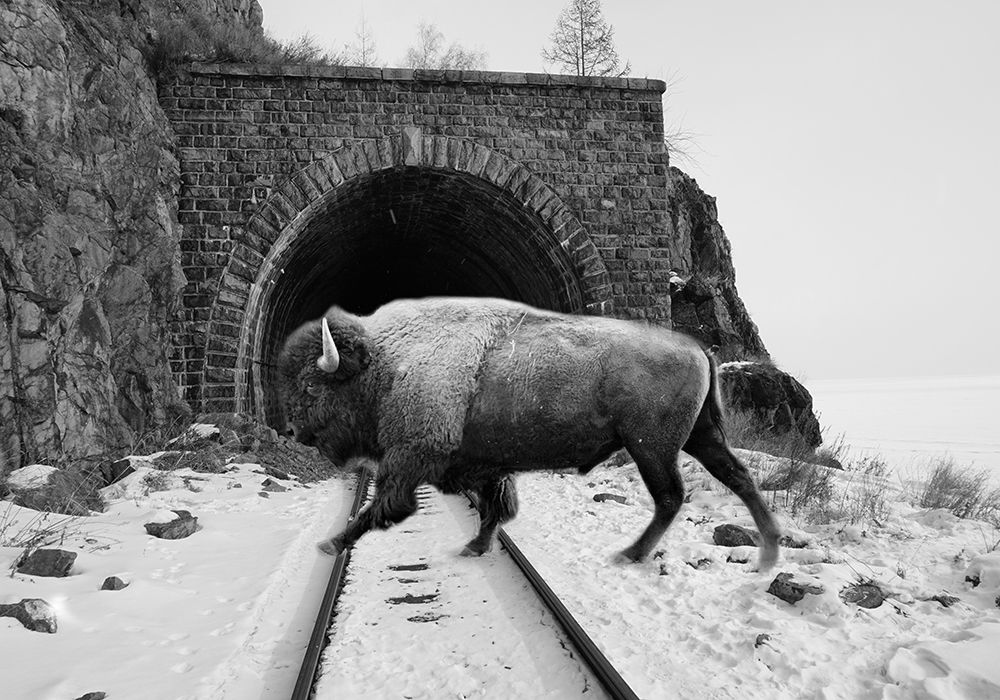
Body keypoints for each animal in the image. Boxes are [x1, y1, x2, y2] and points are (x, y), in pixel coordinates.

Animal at [279, 297, 780, 568]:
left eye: (311, 385)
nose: (293, 429)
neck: (386, 360)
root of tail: (698, 349)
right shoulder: (483, 465)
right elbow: (495, 507)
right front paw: (475, 547)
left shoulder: (411, 455)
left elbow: (384, 506)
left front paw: (331, 542)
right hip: (700, 437)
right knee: (738, 478)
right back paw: (769, 553)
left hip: (651, 447)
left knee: (671, 497)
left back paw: (630, 555)